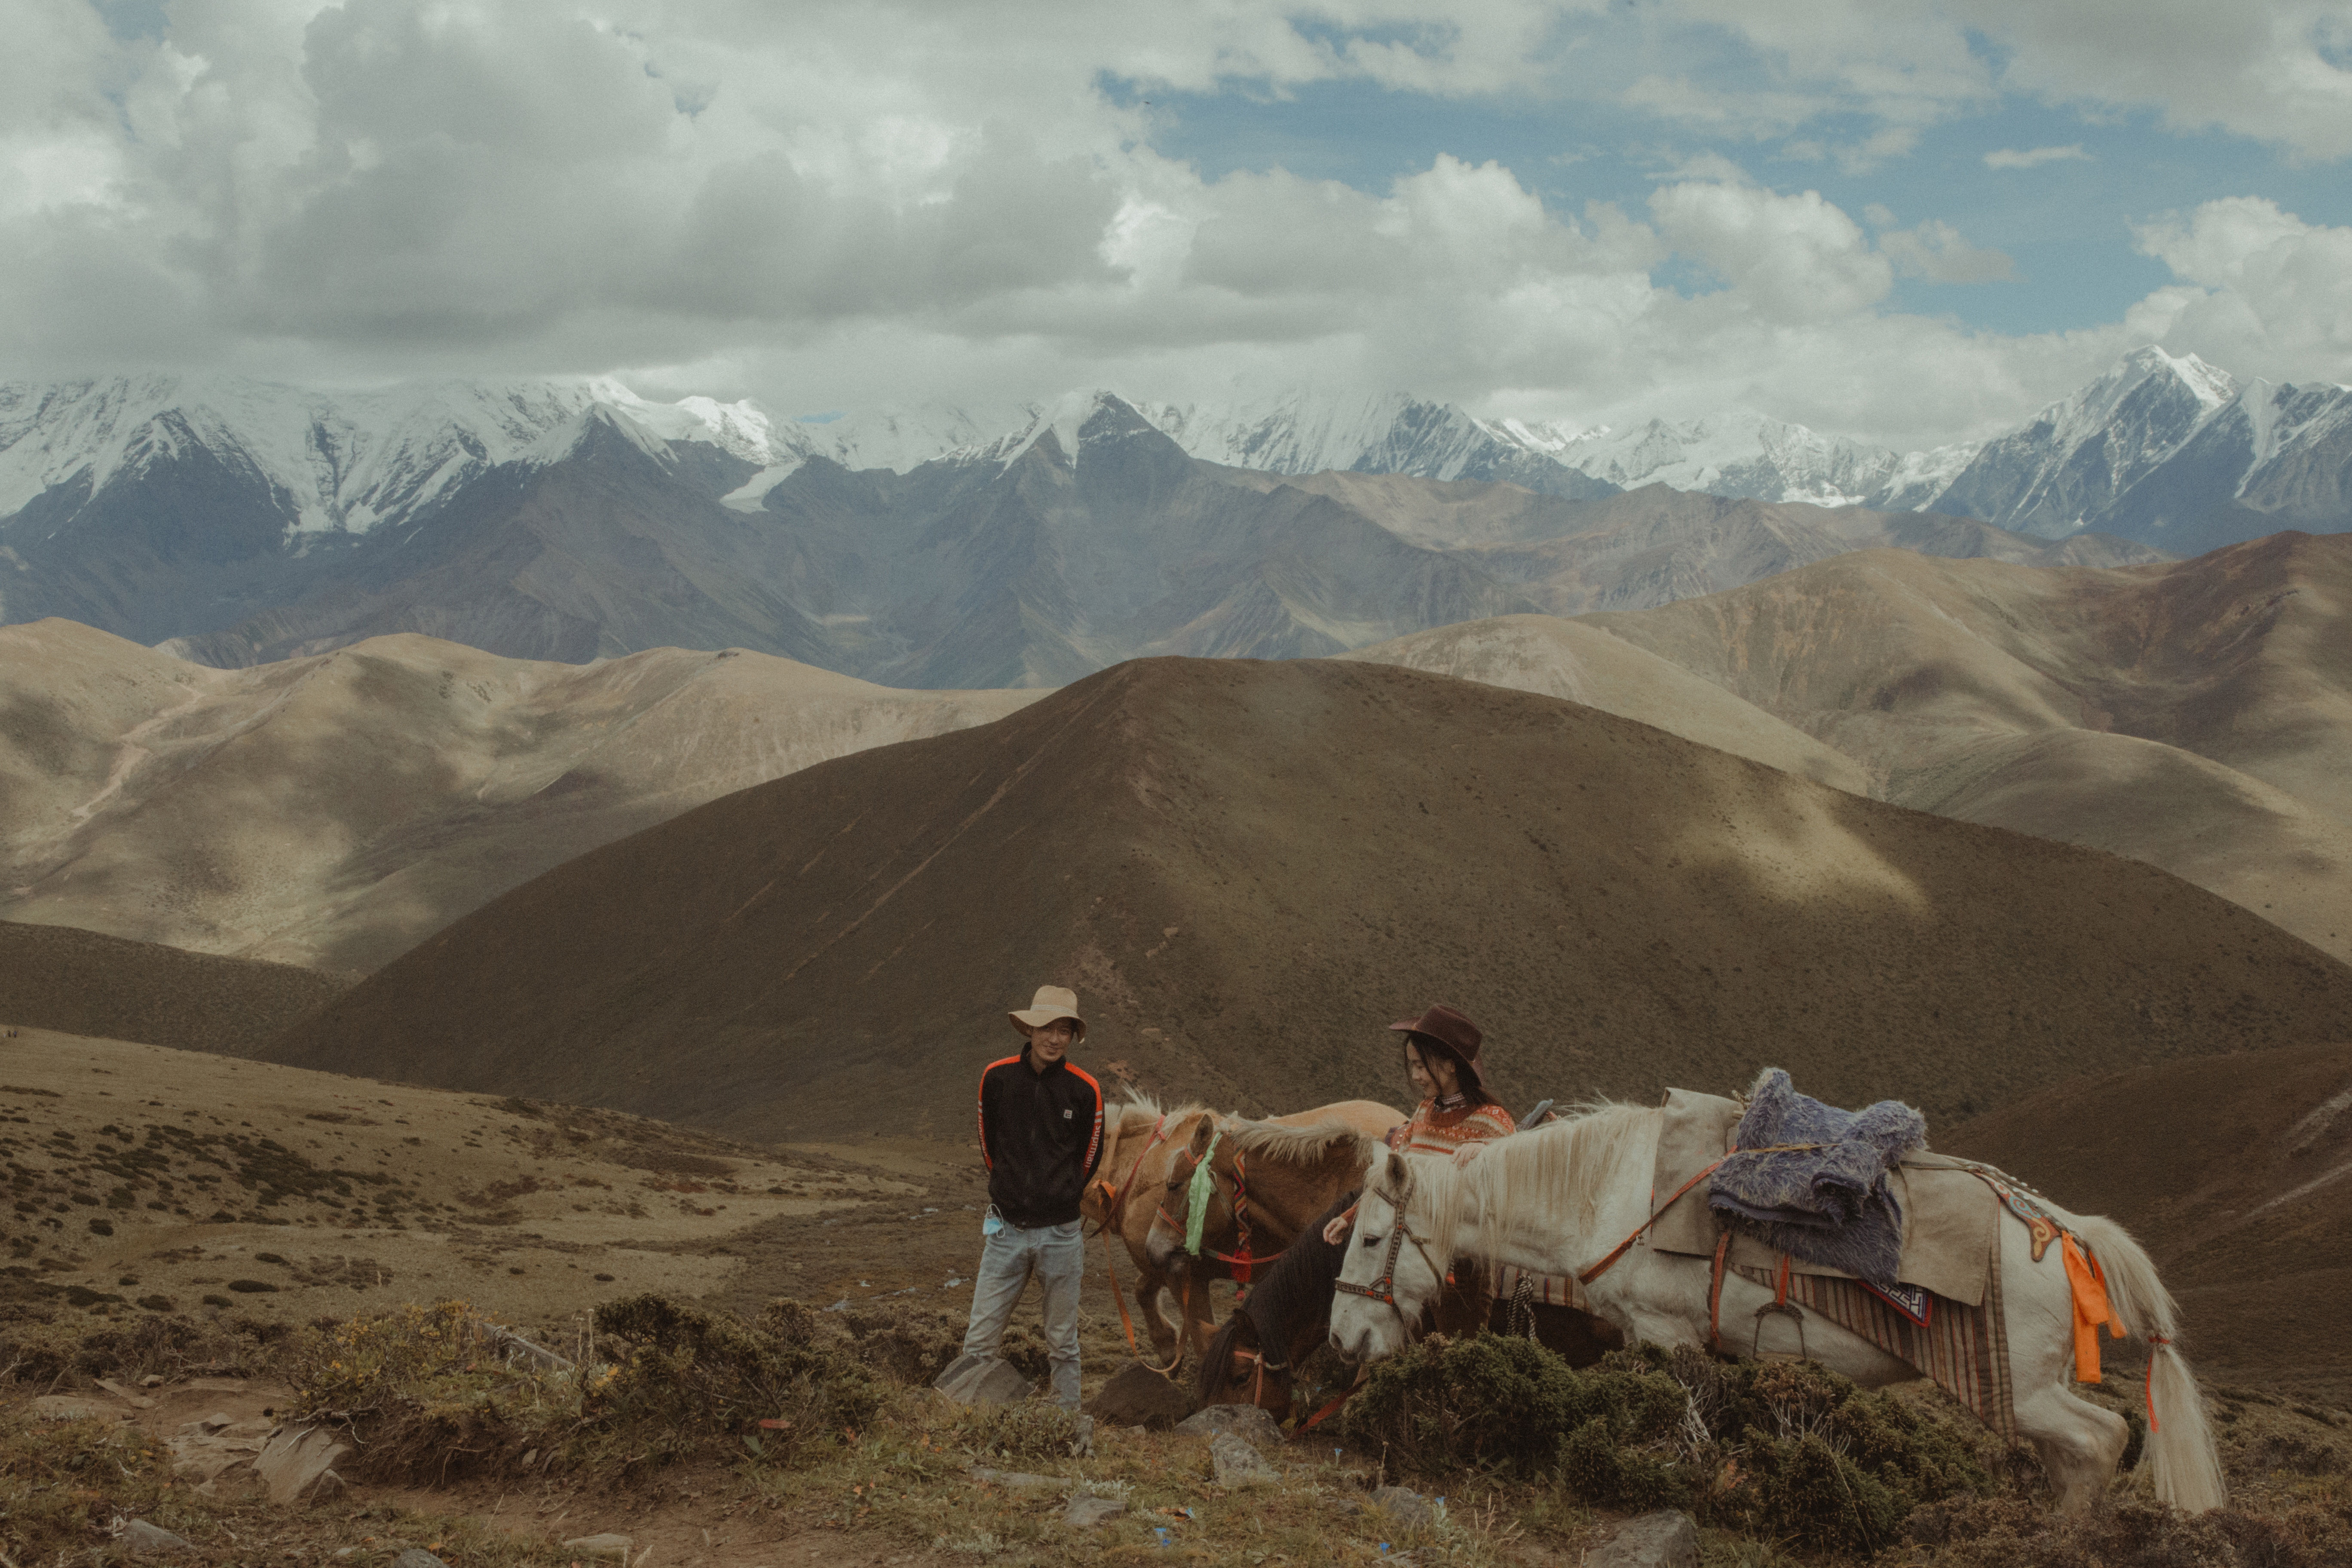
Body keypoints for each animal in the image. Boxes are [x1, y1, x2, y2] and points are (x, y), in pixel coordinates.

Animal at [1326, 1105, 2220, 1523]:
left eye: (1370, 1236)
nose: (1341, 1338)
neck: (1609, 1190)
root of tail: (2066, 1232)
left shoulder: (1668, 1335)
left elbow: (1686, 1426)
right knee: (2077, 1454)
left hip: (2022, 1390)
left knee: (2101, 1438)